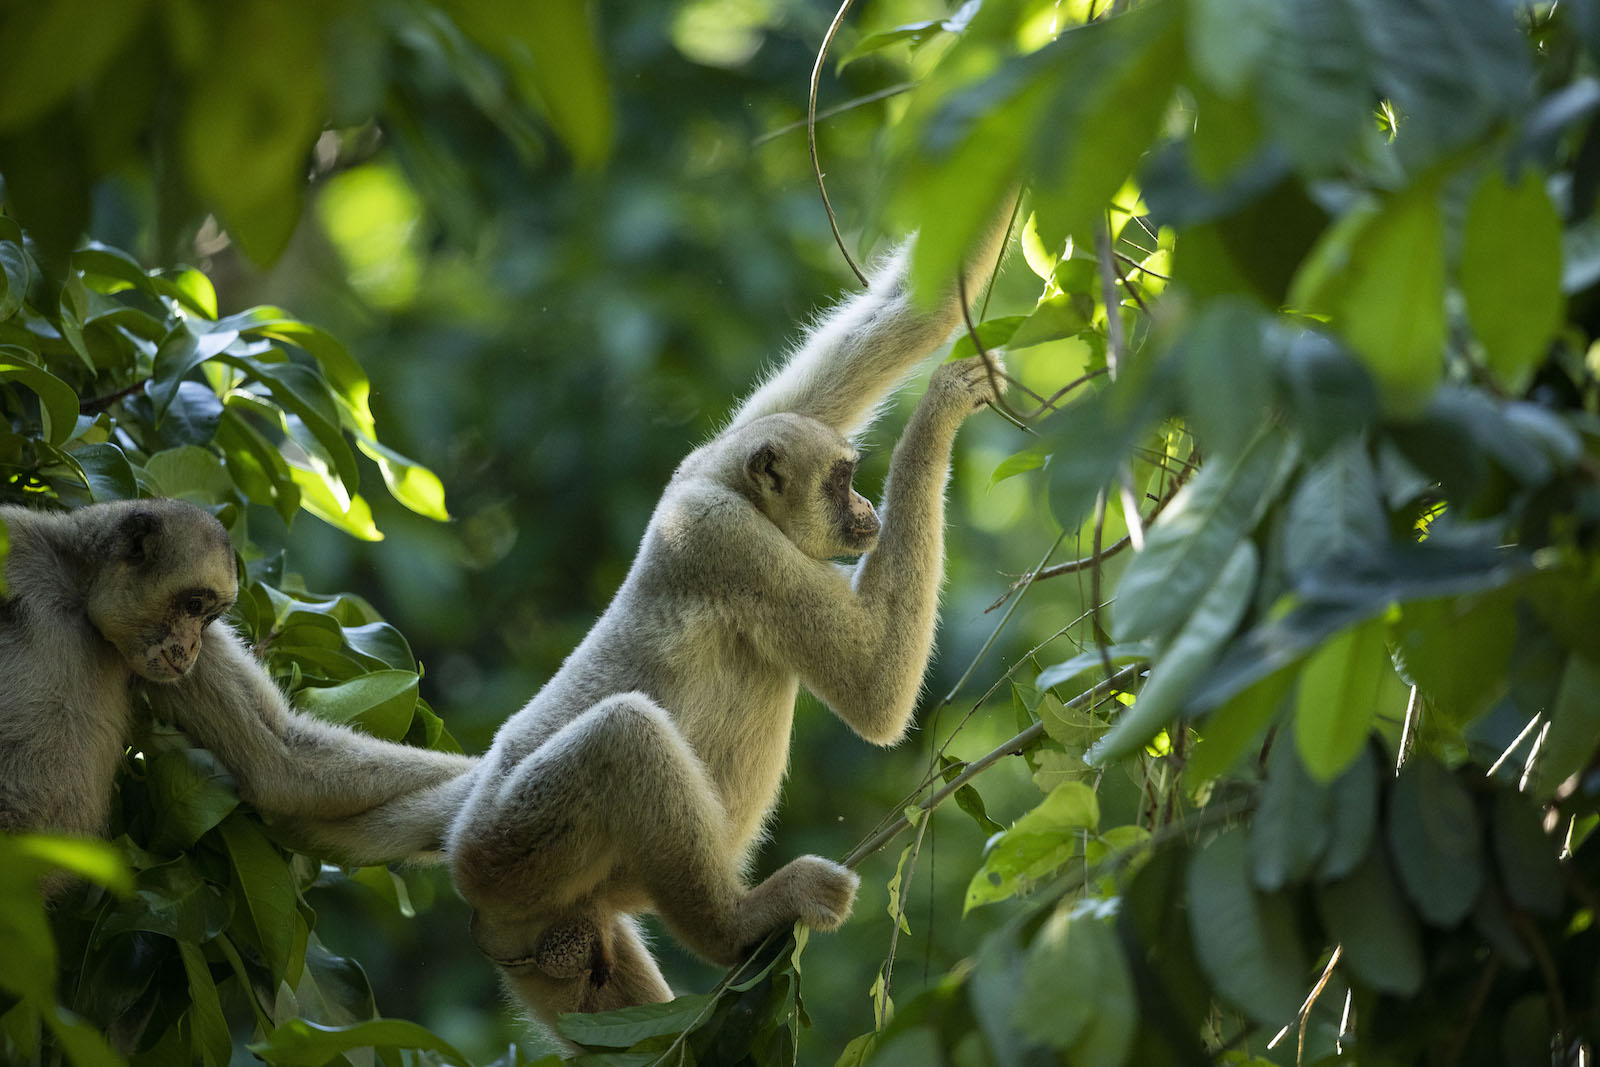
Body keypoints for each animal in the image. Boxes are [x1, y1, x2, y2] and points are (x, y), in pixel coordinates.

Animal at [0, 497, 476, 897]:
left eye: (208, 619)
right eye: (193, 606)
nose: (192, 646)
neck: (79, 599)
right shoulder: (20, 539)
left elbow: (281, 764)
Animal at [445, 219, 1013, 1027]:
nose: (866, 508)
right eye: (842, 480)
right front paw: (939, 409)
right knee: (627, 733)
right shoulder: (722, 536)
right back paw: (735, 924)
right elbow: (874, 692)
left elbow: (912, 308)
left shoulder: (702, 462)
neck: (733, 491)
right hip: (510, 846)